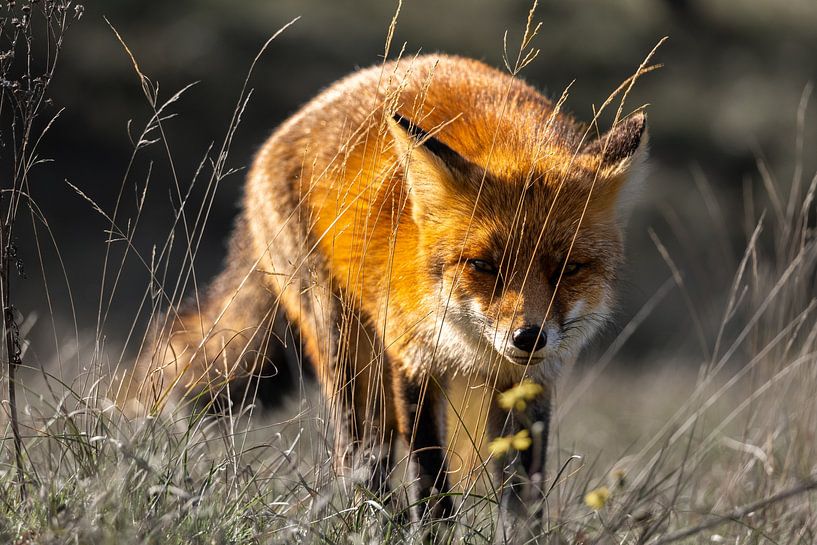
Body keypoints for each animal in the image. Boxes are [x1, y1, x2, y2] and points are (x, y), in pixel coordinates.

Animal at [129, 54, 647, 539]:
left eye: (569, 268)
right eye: (483, 265)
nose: (528, 336)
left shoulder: (529, 384)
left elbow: (522, 502)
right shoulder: (411, 356)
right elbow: (430, 481)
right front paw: (433, 536)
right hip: (346, 351)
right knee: (358, 458)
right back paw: (379, 524)